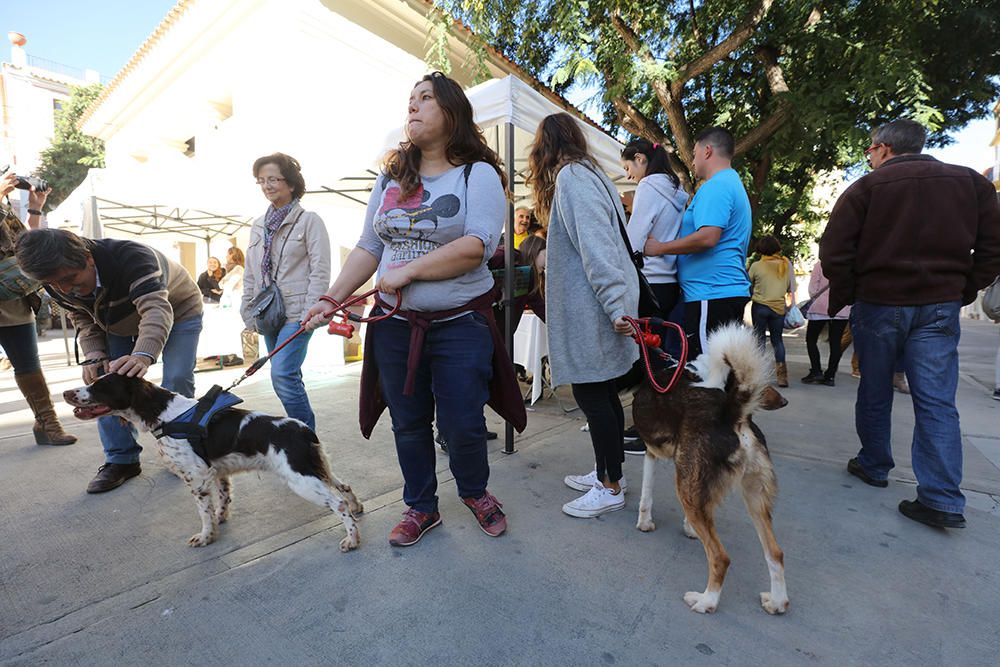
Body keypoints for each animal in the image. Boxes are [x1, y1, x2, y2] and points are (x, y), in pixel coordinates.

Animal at [62, 376, 362, 552]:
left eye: (99, 386)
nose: (65, 392)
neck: (166, 416)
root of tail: (303, 430)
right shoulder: (216, 471)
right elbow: (222, 500)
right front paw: (220, 520)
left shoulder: (196, 477)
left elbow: (203, 512)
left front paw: (206, 537)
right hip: (316, 468)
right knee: (345, 486)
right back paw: (358, 508)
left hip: (301, 480)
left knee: (339, 504)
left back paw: (352, 538)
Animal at [632, 324, 788, 616]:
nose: (784, 401)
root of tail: (733, 414)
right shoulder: (687, 477)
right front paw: (689, 529)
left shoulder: (652, 453)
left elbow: (645, 495)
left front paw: (644, 524)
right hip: (754, 497)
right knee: (775, 553)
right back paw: (777, 602)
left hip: (688, 489)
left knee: (720, 557)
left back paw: (706, 601)